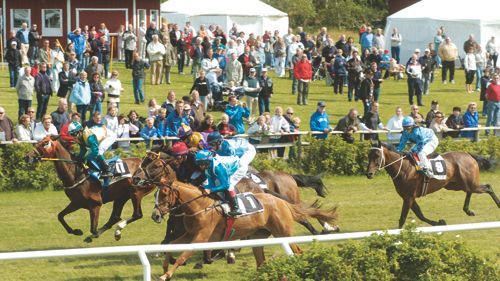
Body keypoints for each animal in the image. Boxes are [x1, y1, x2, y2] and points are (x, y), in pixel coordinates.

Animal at [23, 136, 155, 241]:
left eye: (45, 143)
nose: (27, 156)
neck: (76, 174)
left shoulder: (95, 204)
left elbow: (93, 229)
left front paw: (91, 234)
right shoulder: (76, 203)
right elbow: (60, 216)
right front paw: (76, 231)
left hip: (136, 192)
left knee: (137, 214)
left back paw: (117, 229)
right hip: (121, 196)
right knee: (115, 217)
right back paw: (115, 232)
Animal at [135, 155, 338, 280]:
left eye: (164, 194)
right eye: (156, 194)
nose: (155, 215)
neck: (198, 205)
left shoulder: (201, 237)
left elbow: (183, 255)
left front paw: (167, 274)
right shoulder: (189, 233)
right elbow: (171, 245)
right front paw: (164, 267)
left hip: (284, 231)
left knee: (300, 236)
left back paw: (323, 232)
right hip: (260, 235)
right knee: (262, 261)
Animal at [364, 142, 500, 228]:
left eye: (377, 156)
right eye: (368, 155)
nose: (368, 173)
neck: (404, 168)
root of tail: (468, 154)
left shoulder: (408, 197)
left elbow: (403, 218)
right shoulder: (409, 197)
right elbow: (420, 215)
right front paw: (440, 222)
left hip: (468, 183)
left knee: (487, 187)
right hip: (455, 185)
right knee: (469, 191)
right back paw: (468, 210)